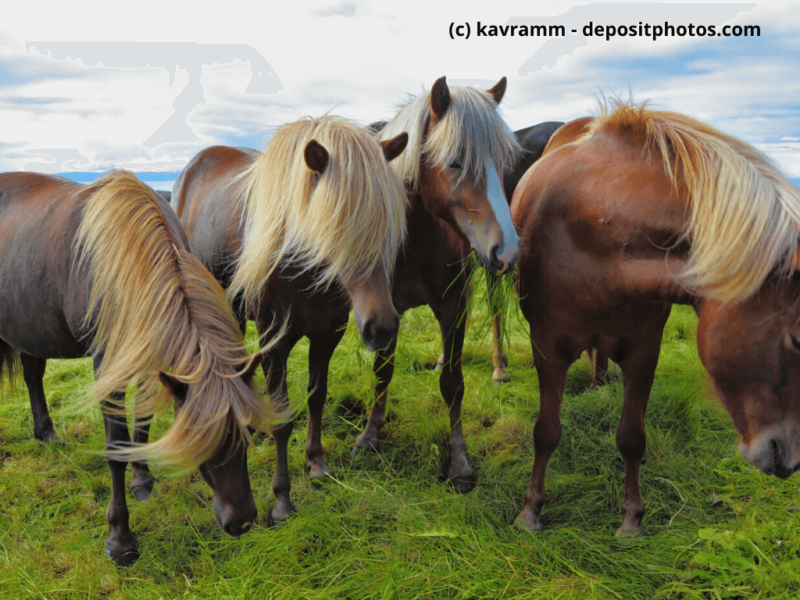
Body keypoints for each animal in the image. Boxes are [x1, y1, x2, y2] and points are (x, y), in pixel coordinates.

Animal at [0, 170, 266, 565]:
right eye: (200, 437)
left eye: (247, 430)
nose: (242, 521)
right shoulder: (107, 365)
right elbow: (116, 446)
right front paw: (120, 538)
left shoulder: (147, 355)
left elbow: (142, 420)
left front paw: (142, 478)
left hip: (32, 329)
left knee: (33, 374)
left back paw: (46, 433)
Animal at [171, 116, 409, 521]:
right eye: (335, 225)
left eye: (388, 224)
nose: (382, 328)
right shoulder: (275, 342)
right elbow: (283, 420)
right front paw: (282, 498)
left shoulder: (327, 335)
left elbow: (317, 397)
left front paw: (316, 463)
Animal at [351, 76, 522, 493]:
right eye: (456, 161)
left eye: (501, 163)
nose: (508, 249)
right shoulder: (386, 310)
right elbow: (382, 372)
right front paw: (370, 435)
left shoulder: (454, 303)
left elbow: (453, 384)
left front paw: (459, 461)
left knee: (495, 316)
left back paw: (499, 369)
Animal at [511, 101, 800, 535]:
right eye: (797, 339)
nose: (790, 460)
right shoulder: (547, 347)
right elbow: (546, 431)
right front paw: (531, 511)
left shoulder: (645, 350)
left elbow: (632, 437)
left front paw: (631, 519)